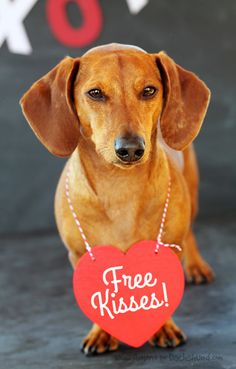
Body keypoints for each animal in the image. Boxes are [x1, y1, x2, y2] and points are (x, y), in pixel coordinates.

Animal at [20, 43, 216, 354]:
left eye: (148, 90)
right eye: (95, 93)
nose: (131, 149)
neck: (119, 189)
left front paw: (162, 327)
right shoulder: (80, 256)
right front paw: (102, 332)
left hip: (192, 196)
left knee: (190, 234)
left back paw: (196, 265)